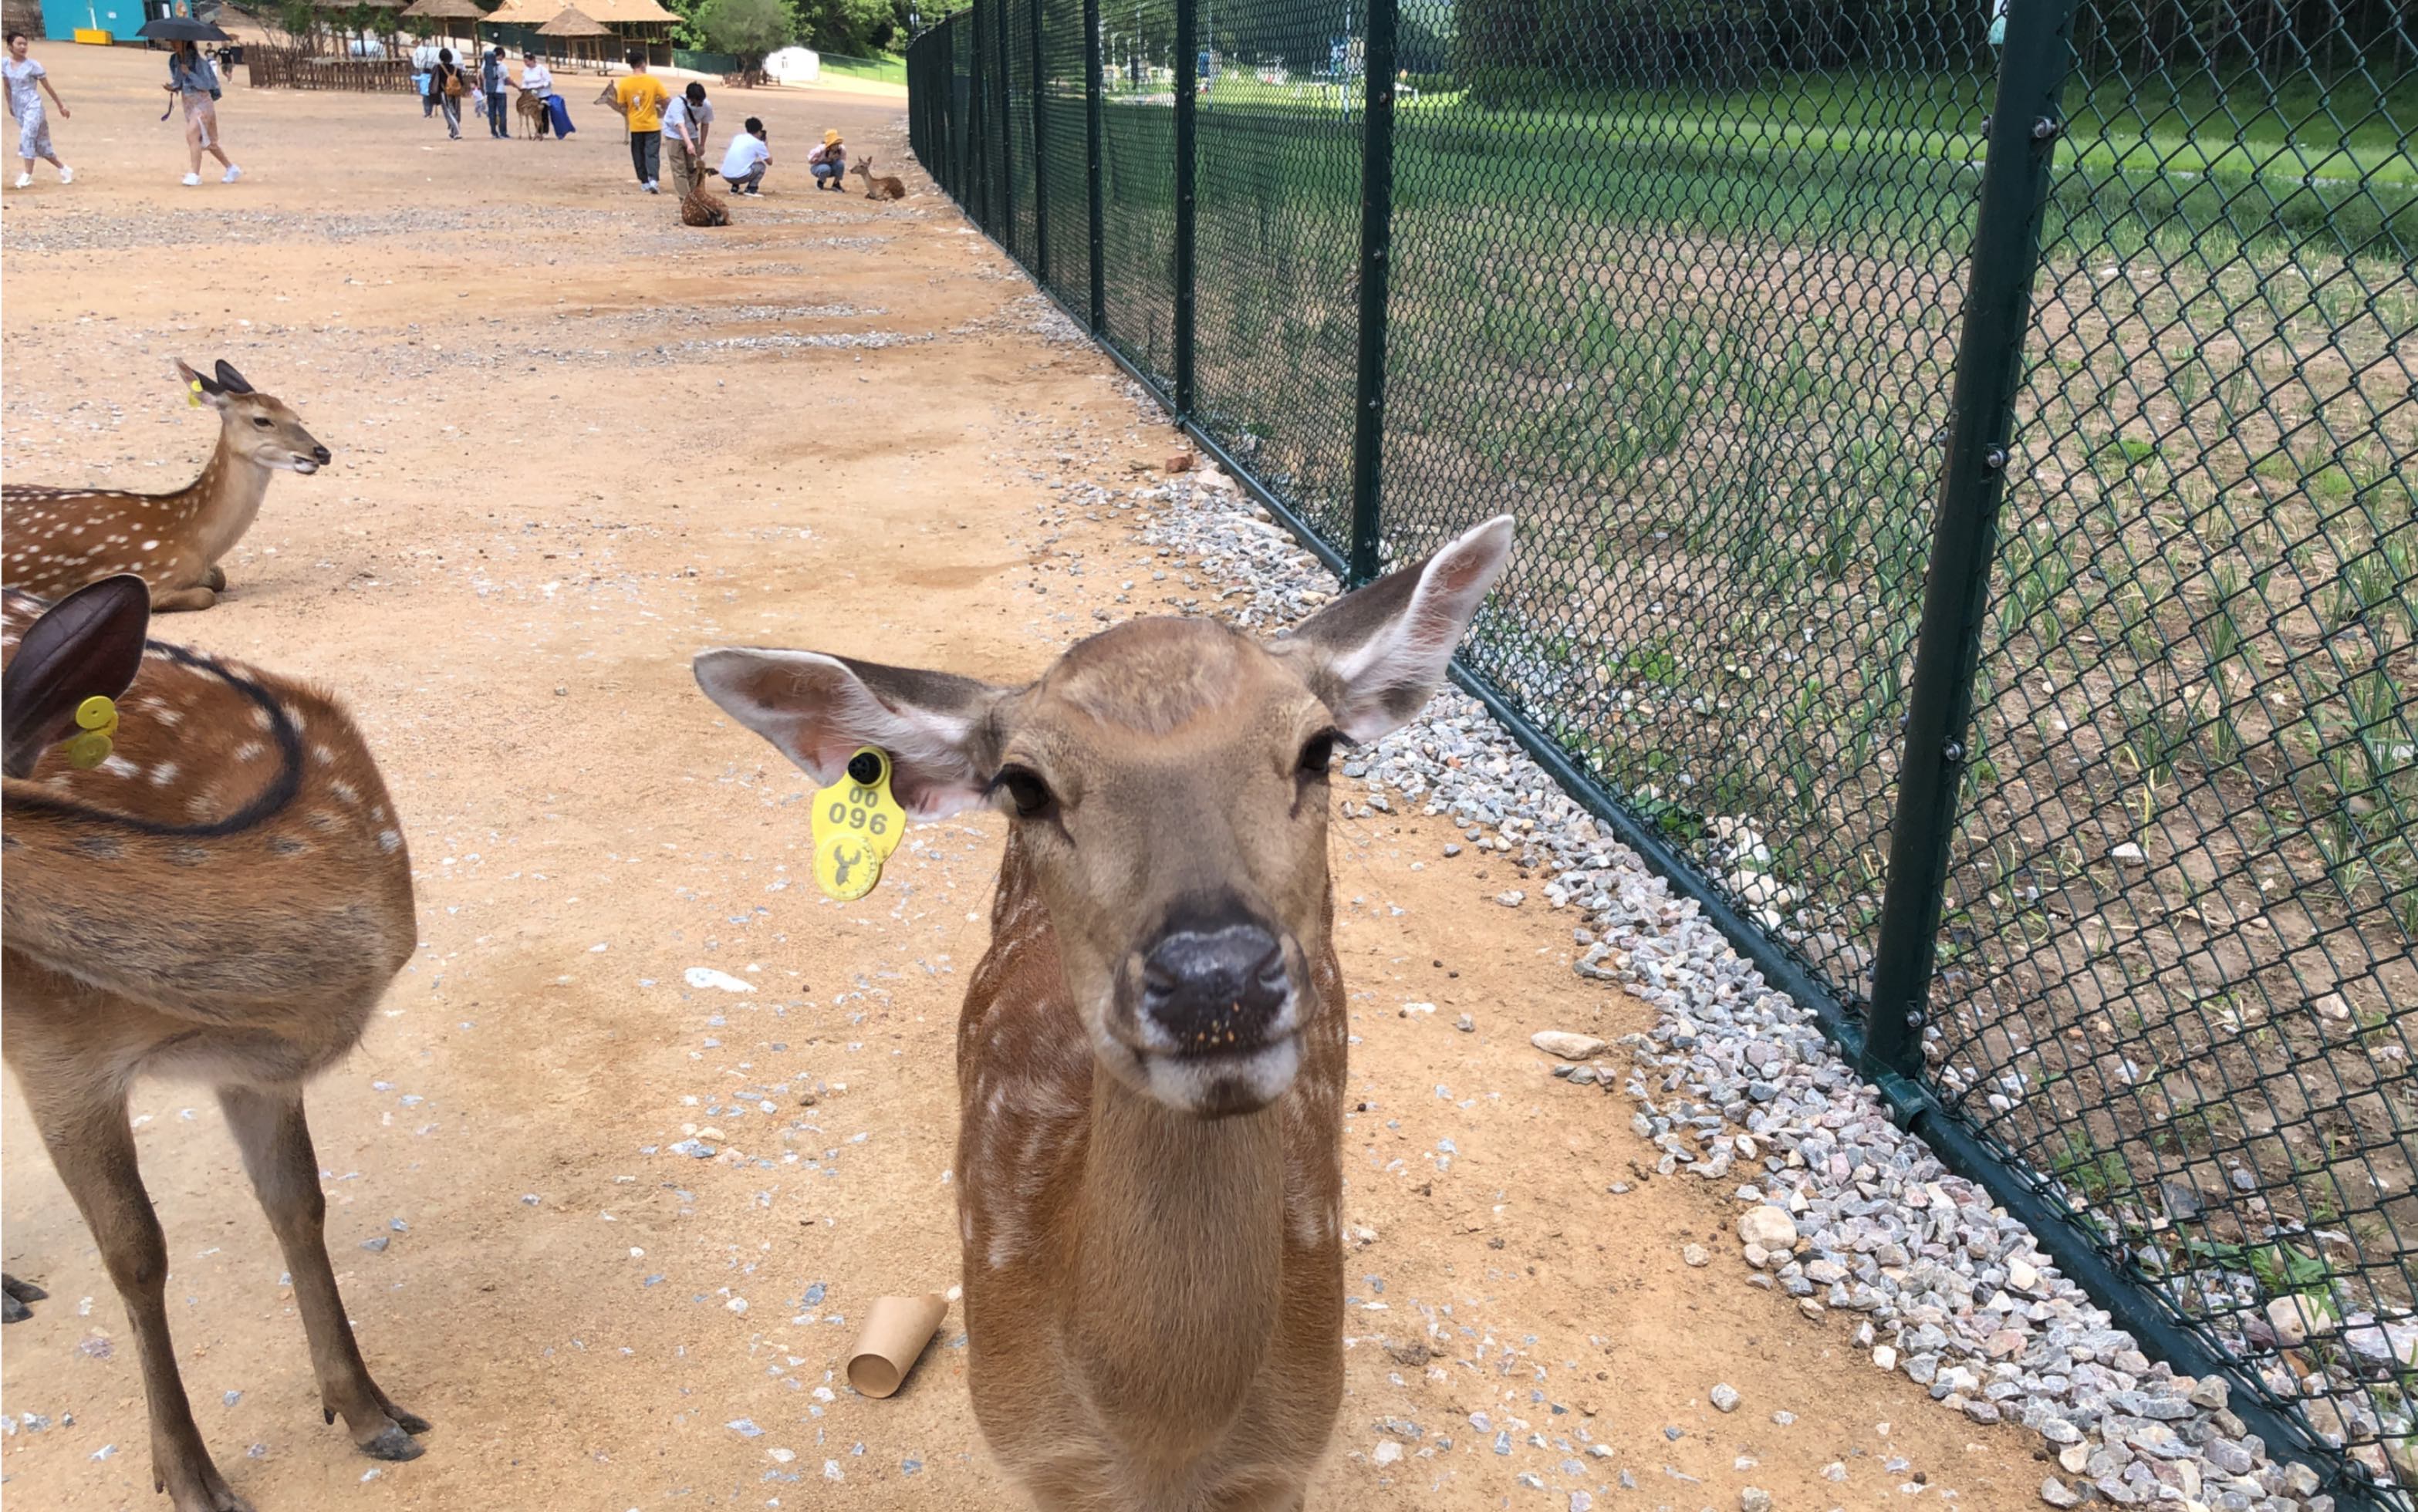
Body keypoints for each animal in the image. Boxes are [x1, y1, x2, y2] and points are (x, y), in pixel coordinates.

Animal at [1, 571, 430, 1500]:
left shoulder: (256, 1070)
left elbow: (298, 1204)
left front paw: (372, 1412)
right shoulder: (56, 1051)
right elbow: (134, 1254)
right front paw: (190, 1477)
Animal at [2, 355, 333, 609]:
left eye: (296, 415)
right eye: (262, 420)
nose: (322, 452)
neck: (192, 540)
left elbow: (219, 578)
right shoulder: (139, 574)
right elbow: (205, 596)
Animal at [691, 512, 1508, 1500]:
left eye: (1319, 748)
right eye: (1024, 783)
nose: (1214, 978)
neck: (1161, 1441)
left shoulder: (1287, 1458)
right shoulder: (1031, 1452)